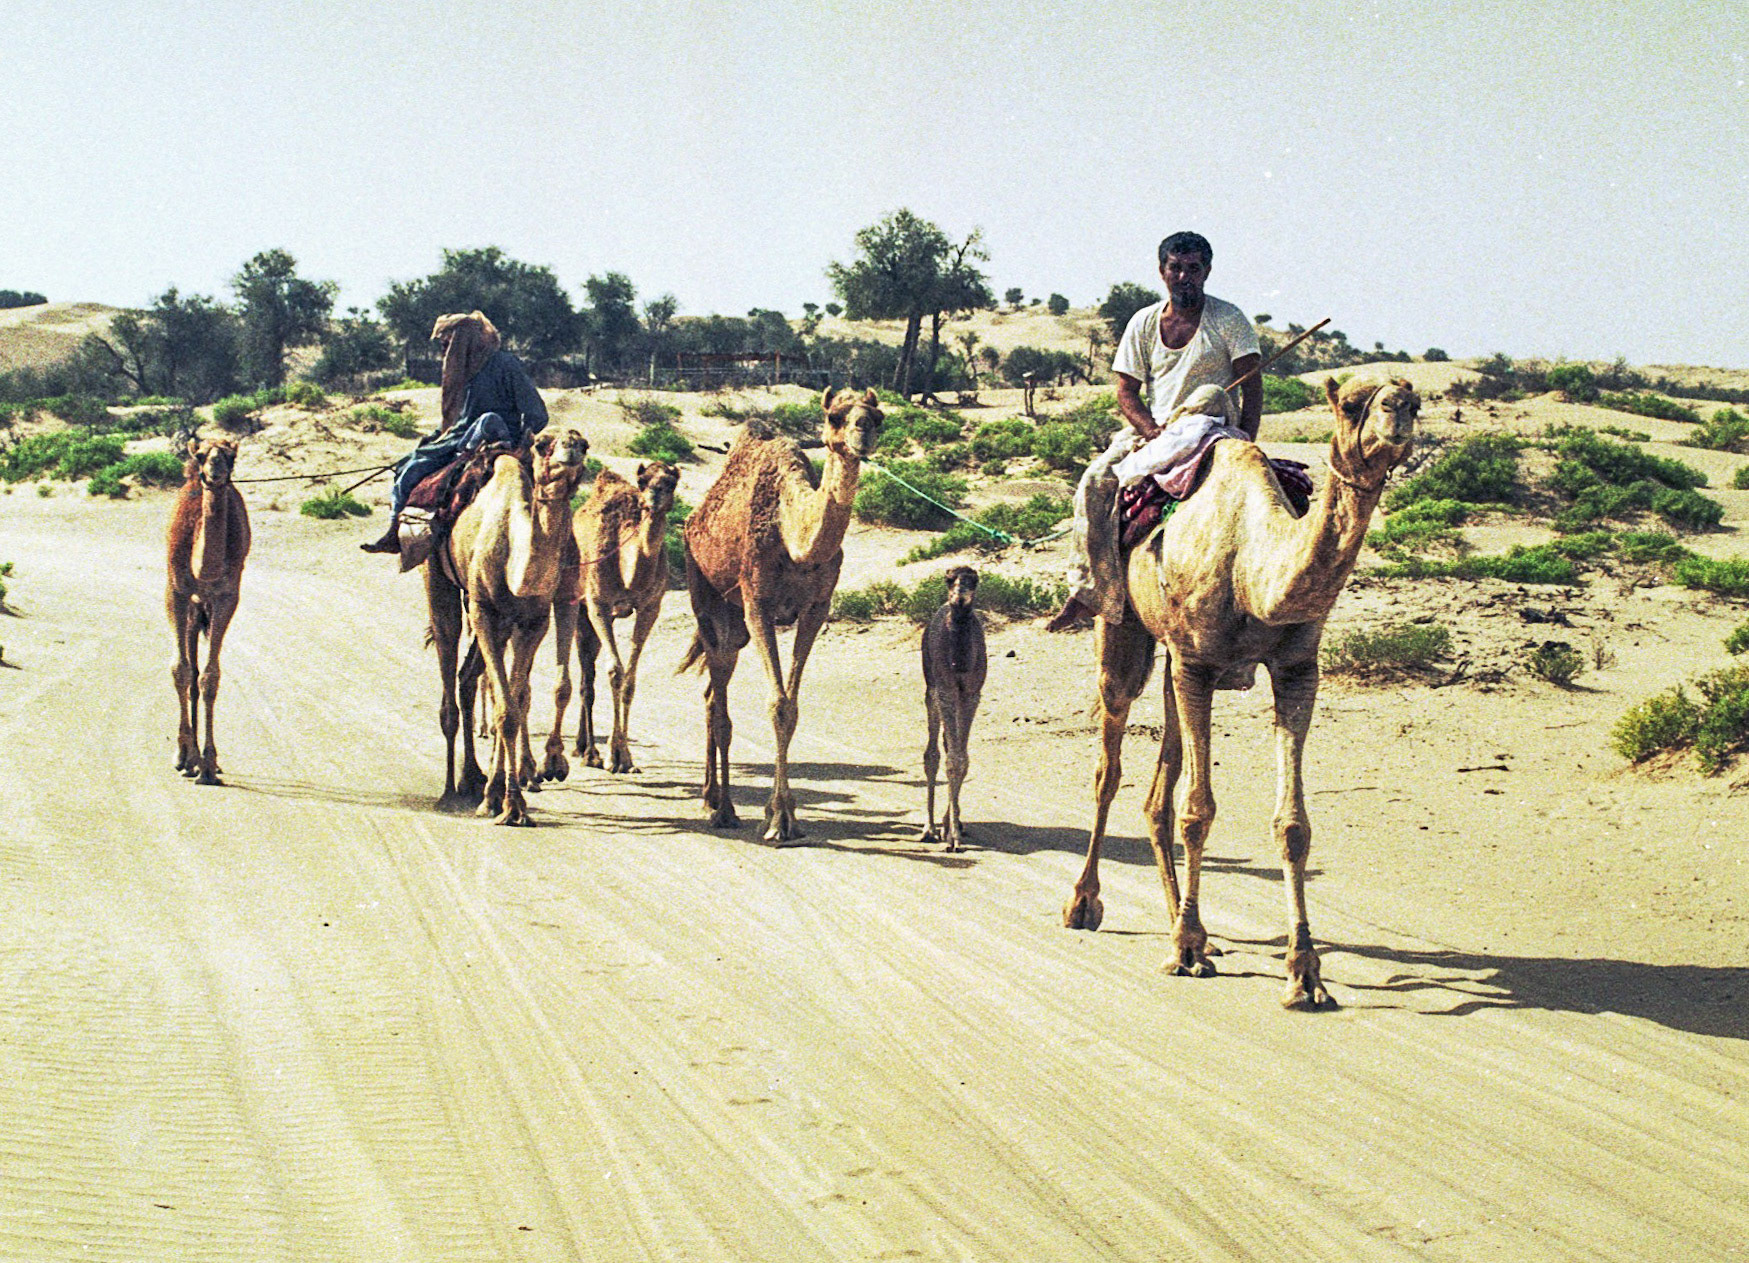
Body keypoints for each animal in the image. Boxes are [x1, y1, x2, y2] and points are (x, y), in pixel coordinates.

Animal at [425, 427, 591, 824]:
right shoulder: (485, 612)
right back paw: (450, 792)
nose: (571, 450)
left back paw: (475, 779)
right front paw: (504, 802)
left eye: (585, 444)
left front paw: (509, 797)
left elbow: (516, 702)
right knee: (449, 680)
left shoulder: (533, 620)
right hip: (439, 578)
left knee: (469, 678)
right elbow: (507, 709)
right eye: (543, 443)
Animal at [543, 460, 681, 778]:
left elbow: (629, 678)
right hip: (582, 607)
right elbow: (615, 672)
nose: (653, 498)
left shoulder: (650, 607)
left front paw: (625, 757)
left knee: (588, 669)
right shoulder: (599, 604)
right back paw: (589, 752)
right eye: (643, 480)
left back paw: (583, 748)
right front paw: (616, 756)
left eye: (671, 482)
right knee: (587, 673)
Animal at [679, 387, 884, 842]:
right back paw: (721, 808)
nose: (862, 431)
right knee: (719, 704)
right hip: (708, 599)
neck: (795, 538)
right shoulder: (758, 602)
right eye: (835, 416)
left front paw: (786, 816)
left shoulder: (816, 609)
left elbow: (791, 708)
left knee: (711, 694)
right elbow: (776, 704)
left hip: (735, 625)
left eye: (878, 416)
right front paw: (776, 821)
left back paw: (712, 798)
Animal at [1062, 375, 1419, 1009]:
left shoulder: (1297, 669)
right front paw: (1184, 950)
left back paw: (1189, 925)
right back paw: (1087, 904)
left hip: (1174, 661)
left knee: (1158, 790)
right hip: (1121, 627)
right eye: (1351, 404)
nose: (1398, 408)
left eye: (1416, 402)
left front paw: (1305, 972)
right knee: (1110, 764)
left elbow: (1293, 825)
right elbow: (1198, 810)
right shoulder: (1198, 663)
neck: (1252, 566)